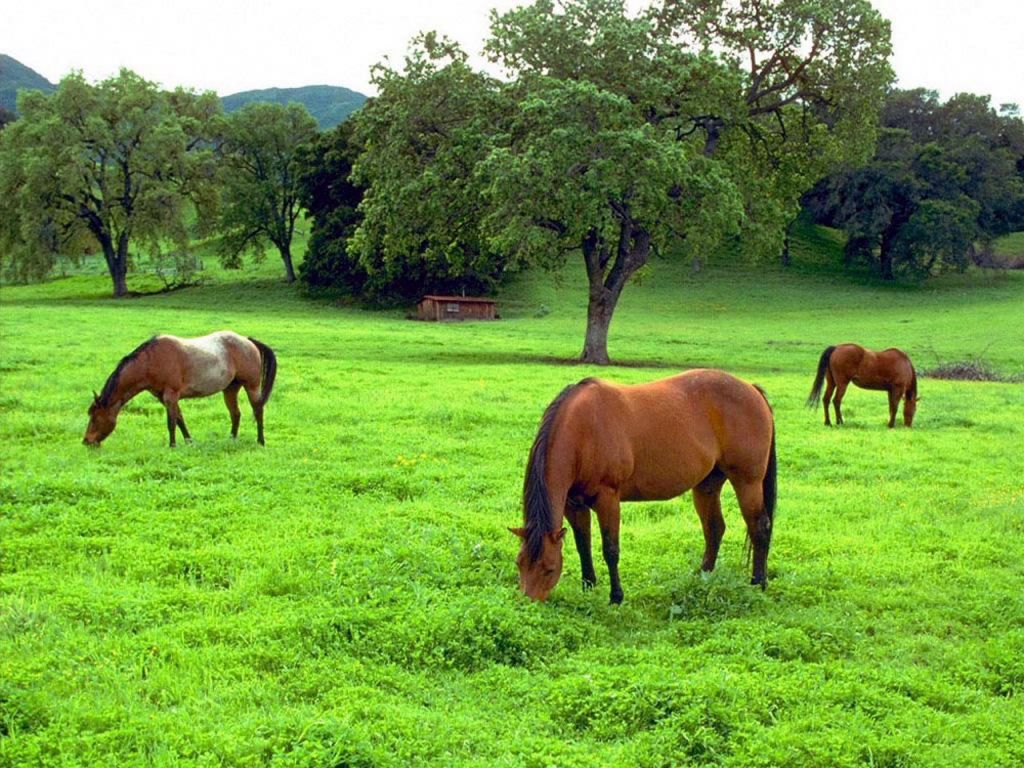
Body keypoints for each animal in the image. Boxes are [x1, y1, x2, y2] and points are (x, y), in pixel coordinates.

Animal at [84, 331, 277, 447]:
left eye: (95, 418)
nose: (86, 441)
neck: (151, 361)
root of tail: (248, 341)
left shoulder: (171, 394)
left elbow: (171, 422)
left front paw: (172, 445)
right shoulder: (164, 397)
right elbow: (179, 419)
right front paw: (189, 441)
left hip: (251, 386)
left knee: (258, 410)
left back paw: (261, 441)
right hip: (230, 388)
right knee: (235, 414)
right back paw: (232, 439)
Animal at [510, 369, 777, 604]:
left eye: (549, 568)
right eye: (519, 563)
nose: (528, 602)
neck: (583, 431)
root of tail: (752, 389)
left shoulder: (608, 498)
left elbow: (610, 549)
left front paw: (616, 597)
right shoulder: (573, 504)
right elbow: (582, 544)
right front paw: (588, 586)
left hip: (747, 482)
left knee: (759, 527)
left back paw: (758, 583)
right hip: (707, 485)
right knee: (714, 528)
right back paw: (703, 577)